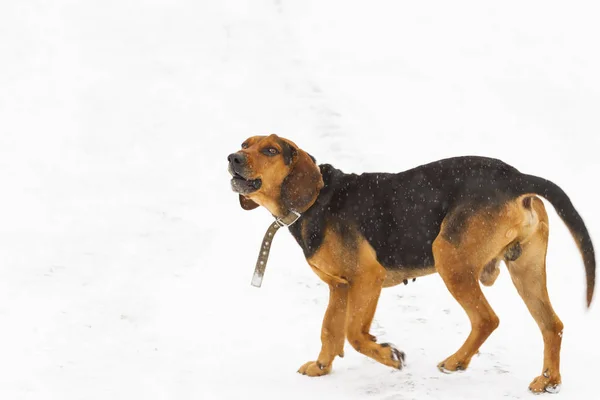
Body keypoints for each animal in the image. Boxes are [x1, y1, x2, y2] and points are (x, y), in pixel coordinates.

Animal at [226, 134, 596, 394]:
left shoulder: (367, 278)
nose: (232, 157)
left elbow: (355, 334)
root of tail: (516, 178)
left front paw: (388, 355)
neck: (316, 201)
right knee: (552, 325)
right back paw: (549, 380)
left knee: (487, 319)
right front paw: (320, 368)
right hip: (526, 268)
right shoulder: (339, 286)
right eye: (245, 143)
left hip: (449, 258)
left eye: (271, 150)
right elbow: (330, 331)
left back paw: (456, 361)